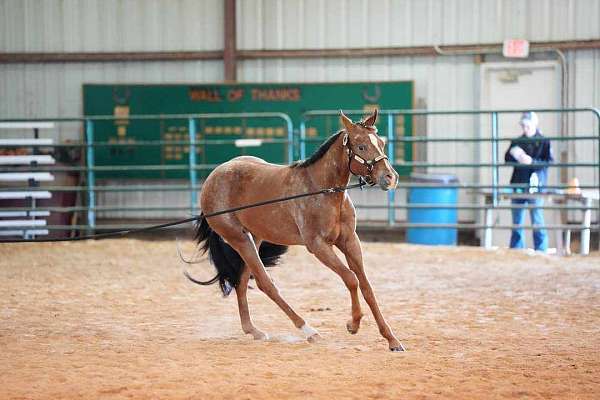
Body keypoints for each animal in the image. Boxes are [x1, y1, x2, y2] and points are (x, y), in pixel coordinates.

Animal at [186, 108, 404, 350]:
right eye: (361, 146)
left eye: (381, 143)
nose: (390, 178)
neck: (322, 190)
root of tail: (213, 178)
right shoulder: (318, 246)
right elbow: (351, 279)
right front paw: (353, 324)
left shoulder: (349, 241)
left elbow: (366, 287)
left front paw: (392, 340)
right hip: (240, 239)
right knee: (265, 283)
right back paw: (309, 331)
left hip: (255, 237)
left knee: (242, 282)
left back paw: (253, 330)